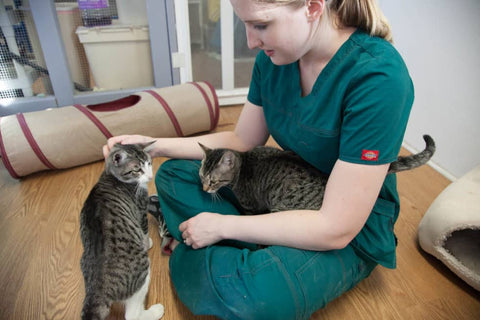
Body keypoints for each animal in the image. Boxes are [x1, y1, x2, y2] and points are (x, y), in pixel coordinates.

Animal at [79, 143, 164, 320]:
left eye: (149, 163)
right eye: (137, 169)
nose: (150, 176)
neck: (111, 176)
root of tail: (98, 289)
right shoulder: (141, 209)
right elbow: (144, 230)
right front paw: (147, 242)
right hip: (142, 271)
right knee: (132, 315)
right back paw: (155, 311)